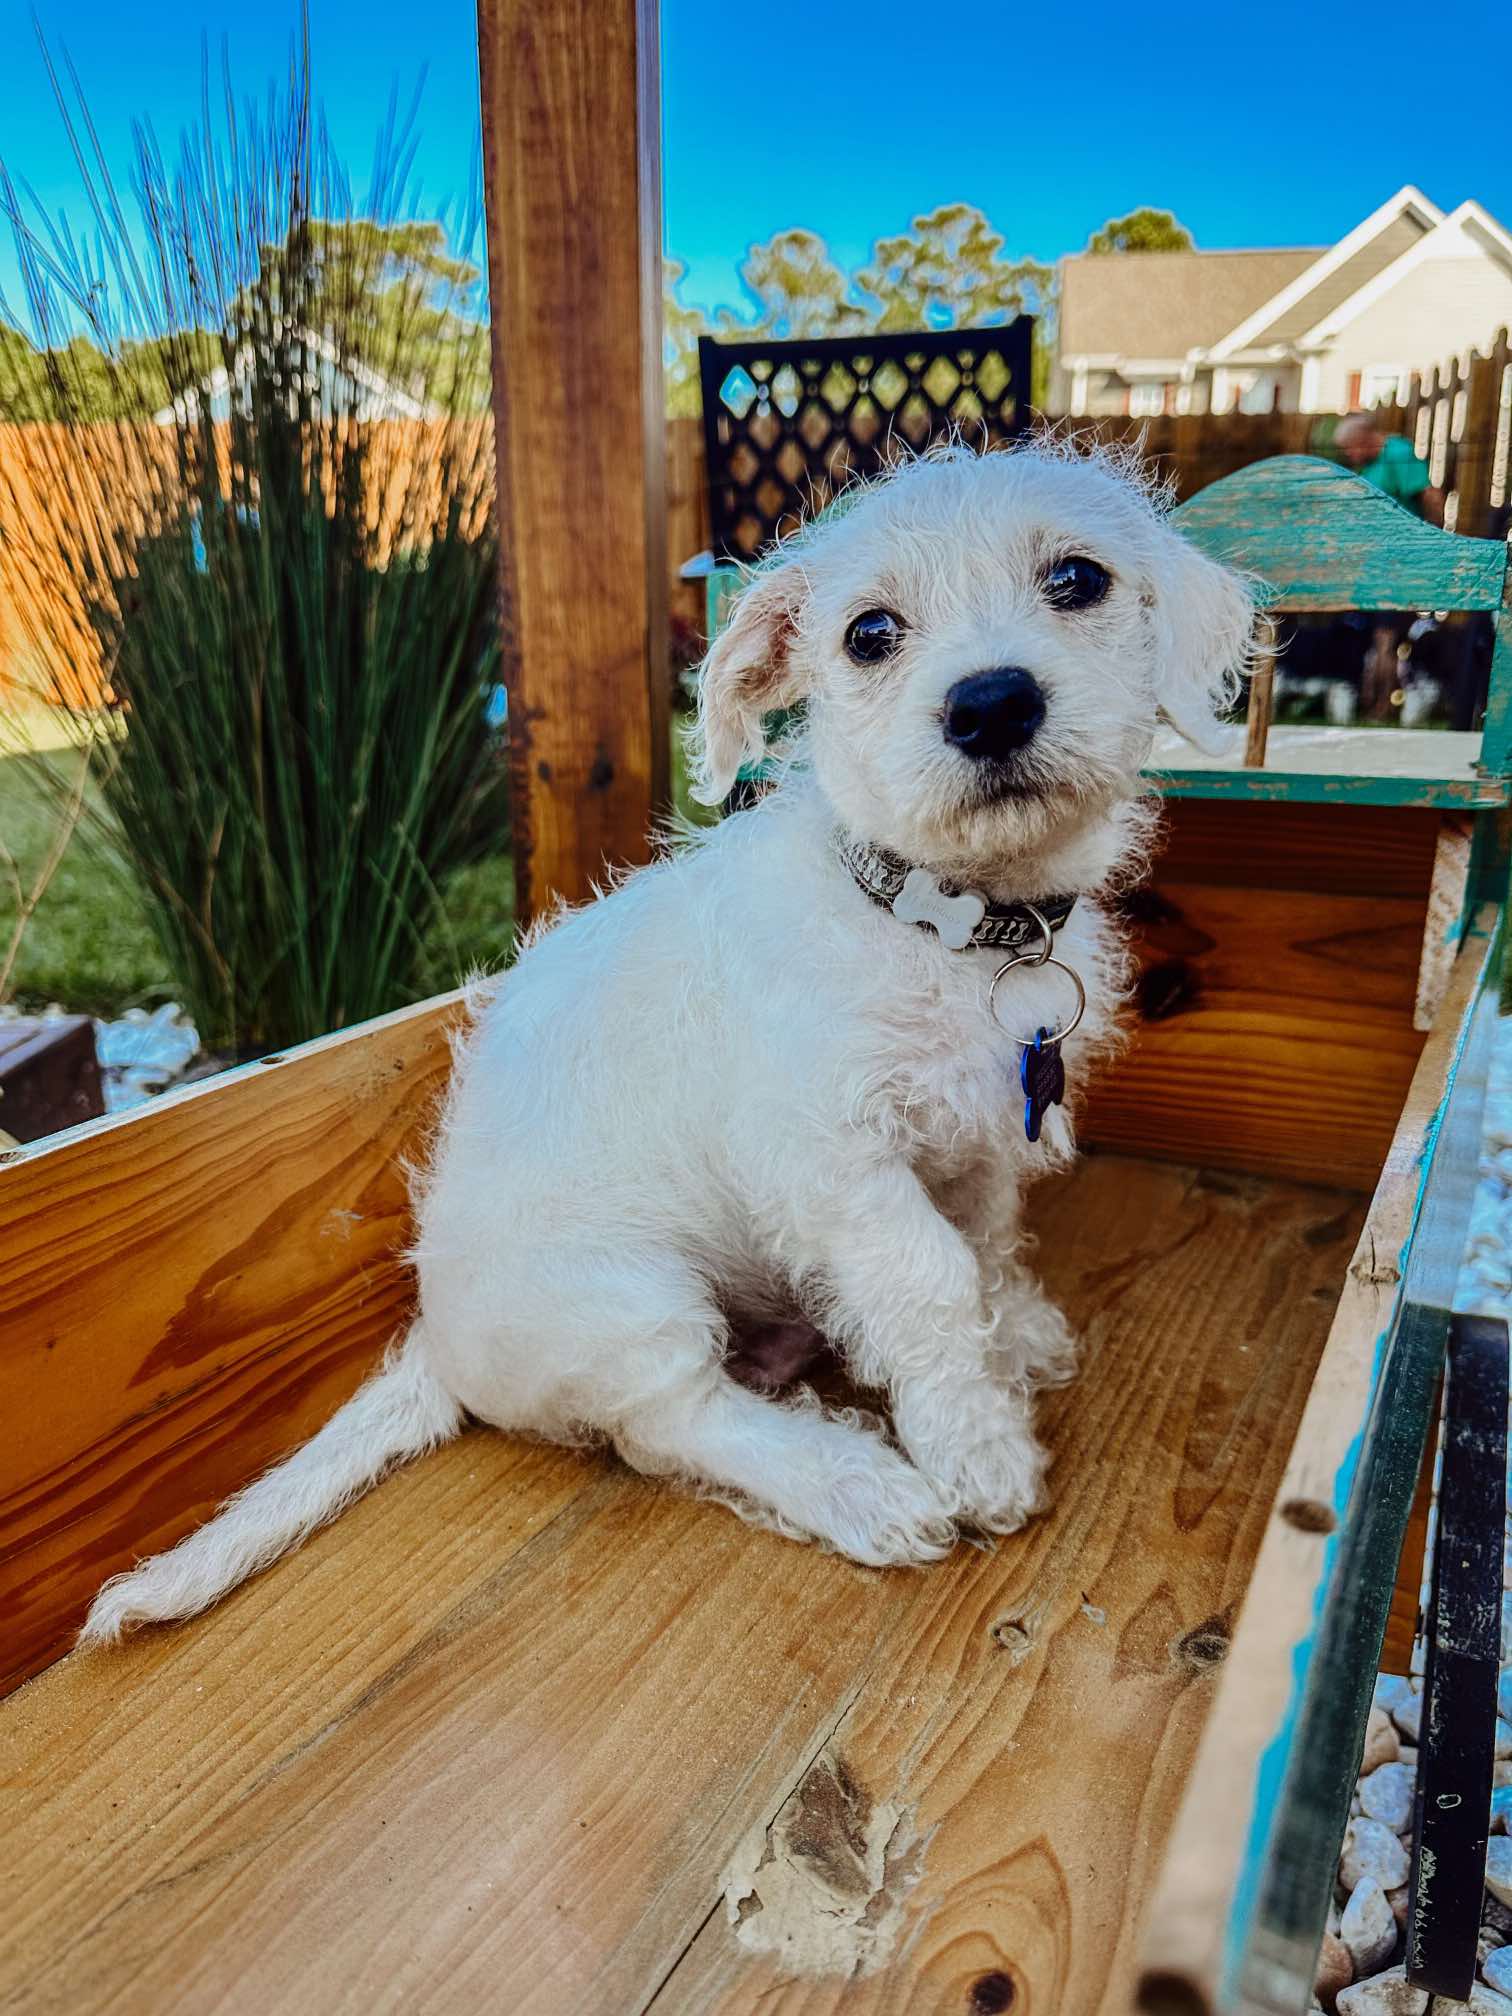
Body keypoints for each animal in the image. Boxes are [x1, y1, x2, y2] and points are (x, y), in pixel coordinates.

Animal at [88, 441, 1257, 1636]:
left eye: (1077, 579)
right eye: (869, 634)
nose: (990, 705)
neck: (945, 925)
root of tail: (438, 1341)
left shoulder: (974, 1136)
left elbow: (982, 1243)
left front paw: (1013, 1336)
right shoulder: (837, 1165)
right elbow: (931, 1281)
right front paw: (979, 1450)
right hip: (630, 1302)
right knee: (674, 1422)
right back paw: (855, 1484)